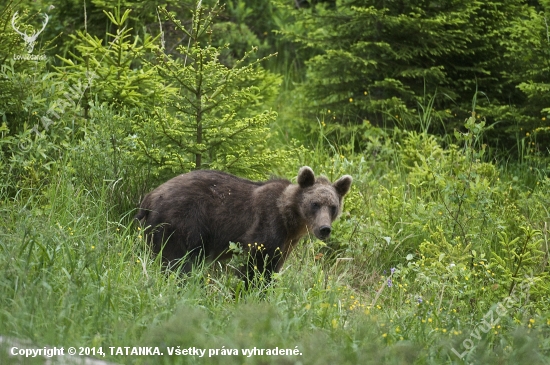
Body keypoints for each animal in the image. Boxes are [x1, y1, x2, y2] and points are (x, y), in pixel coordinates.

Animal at [136, 166, 356, 284]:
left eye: (333, 207)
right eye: (315, 204)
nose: (324, 229)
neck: (291, 221)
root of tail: (149, 197)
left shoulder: (286, 243)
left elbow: (273, 267)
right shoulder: (266, 226)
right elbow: (255, 265)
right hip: (182, 222)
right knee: (178, 261)